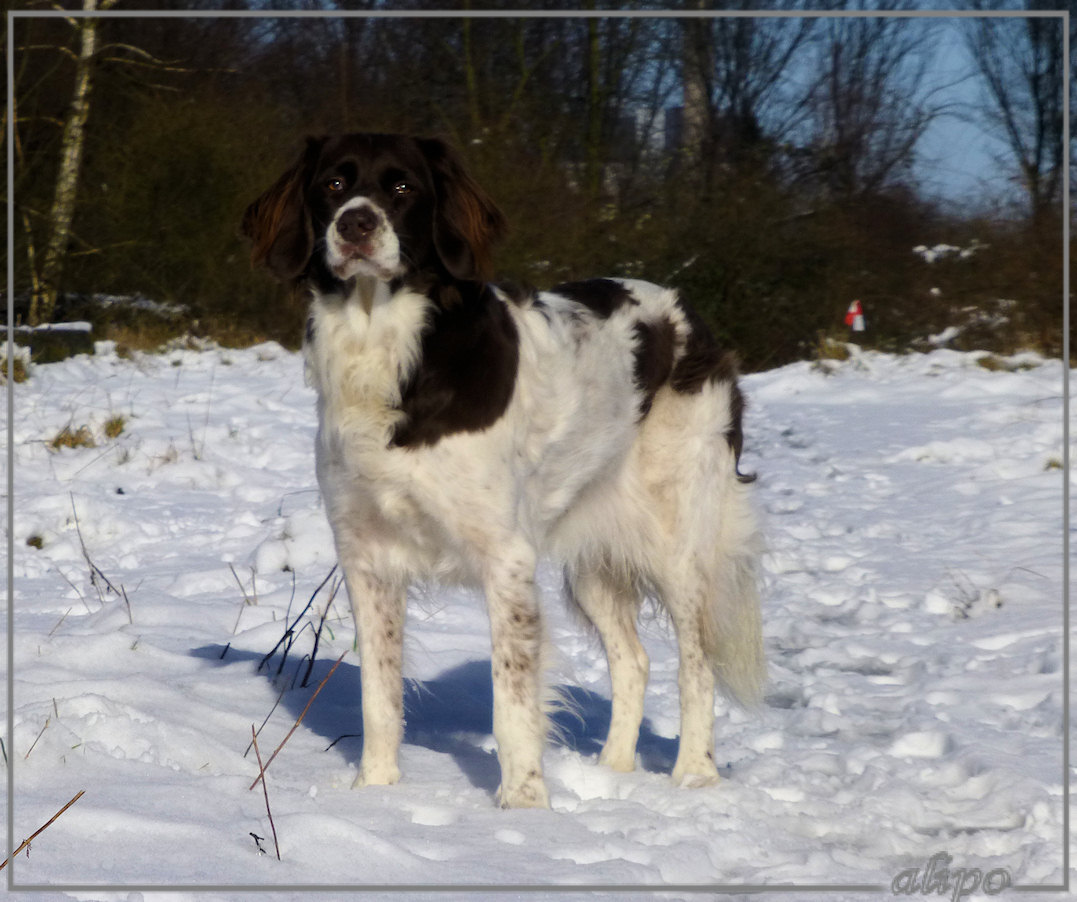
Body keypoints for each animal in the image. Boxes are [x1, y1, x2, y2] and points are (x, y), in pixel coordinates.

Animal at [244, 134, 766, 813]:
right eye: (333, 185)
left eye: (403, 187)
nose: (356, 224)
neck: (388, 349)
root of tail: (688, 315)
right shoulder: (366, 558)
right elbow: (380, 696)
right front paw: (376, 794)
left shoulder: (506, 558)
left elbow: (513, 704)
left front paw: (523, 808)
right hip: (593, 561)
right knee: (634, 661)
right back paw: (614, 772)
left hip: (679, 545)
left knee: (695, 664)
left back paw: (694, 778)